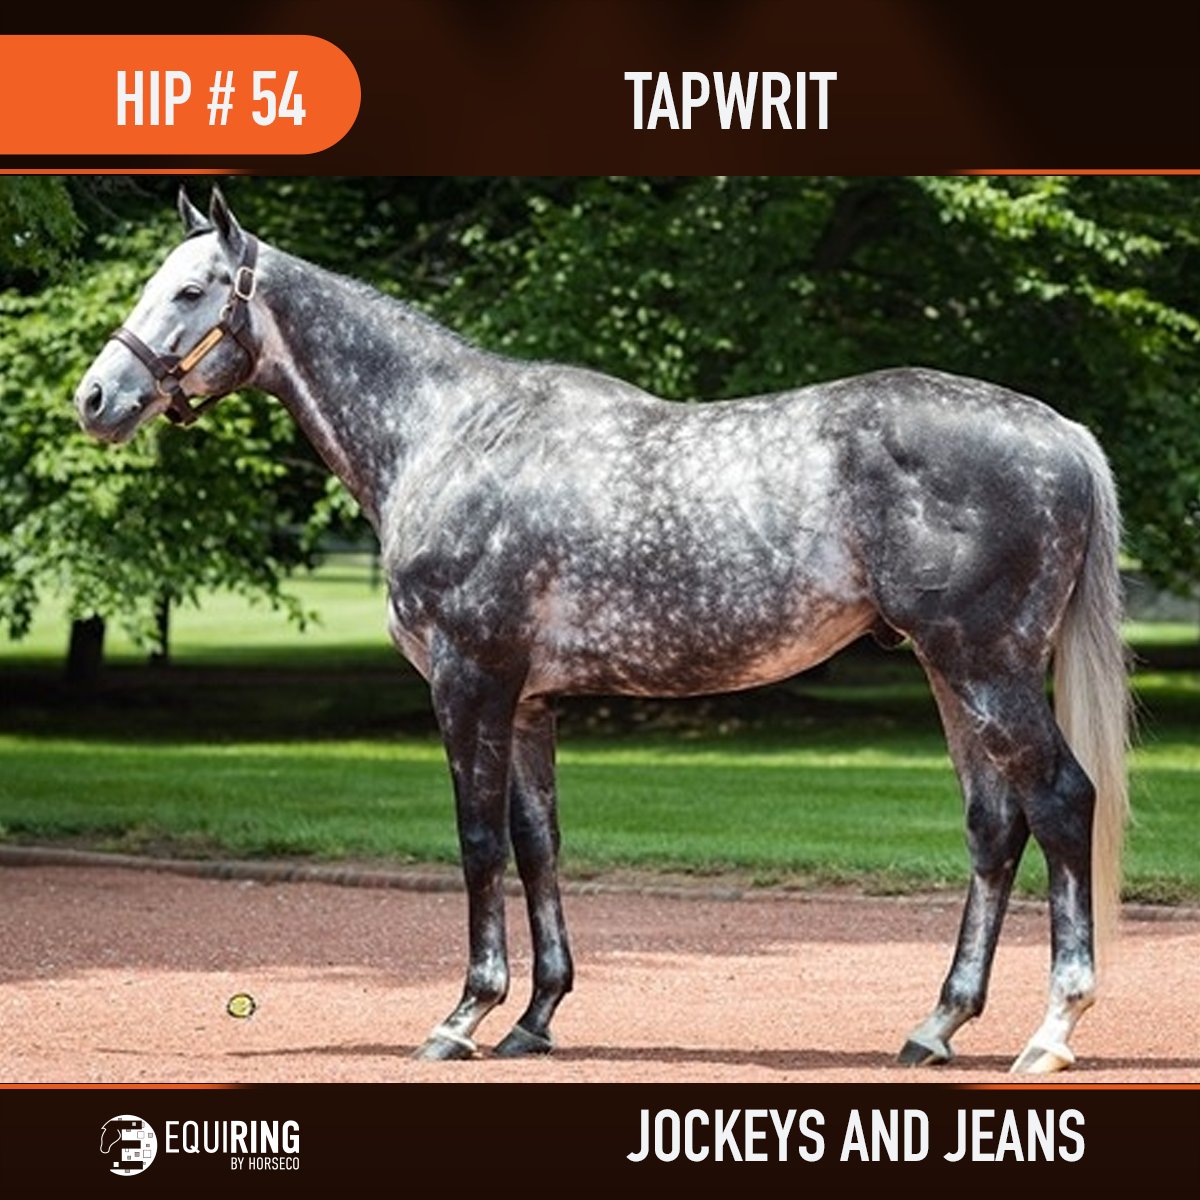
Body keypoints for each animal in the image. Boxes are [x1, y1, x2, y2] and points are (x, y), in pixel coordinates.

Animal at [73, 187, 1129, 1073]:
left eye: (193, 290)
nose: (95, 399)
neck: (450, 434)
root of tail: (1062, 433)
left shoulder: (469, 682)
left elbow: (477, 842)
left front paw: (464, 1016)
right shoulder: (530, 701)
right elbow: (538, 842)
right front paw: (535, 1019)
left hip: (986, 667)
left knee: (1061, 802)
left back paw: (1052, 1031)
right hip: (952, 674)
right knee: (995, 827)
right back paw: (936, 1026)